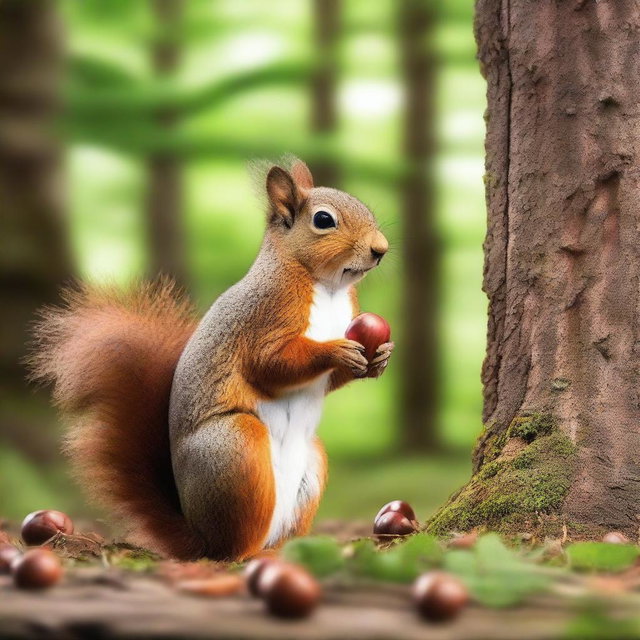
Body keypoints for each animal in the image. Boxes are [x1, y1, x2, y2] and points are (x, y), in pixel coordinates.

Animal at [29, 158, 393, 561]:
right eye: (324, 220)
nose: (381, 249)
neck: (328, 287)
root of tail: (198, 538)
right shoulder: (265, 315)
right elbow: (270, 365)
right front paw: (335, 351)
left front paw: (381, 357)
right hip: (235, 449)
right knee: (233, 548)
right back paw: (252, 555)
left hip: (310, 464)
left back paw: (290, 550)